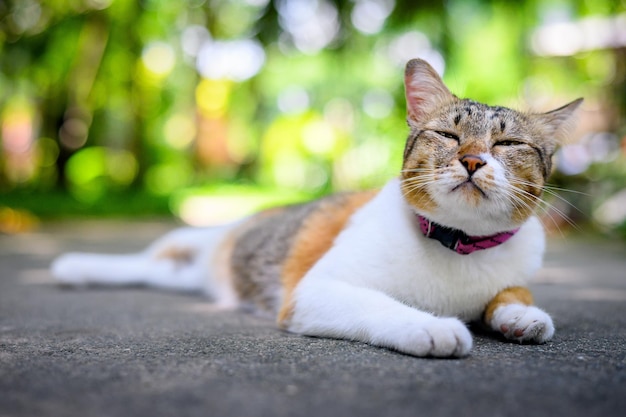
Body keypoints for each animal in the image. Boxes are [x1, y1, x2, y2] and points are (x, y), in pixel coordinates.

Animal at [51, 59, 584, 358]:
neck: (458, 245)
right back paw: (75, 266)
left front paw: (520, 316)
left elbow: (512, 292)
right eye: (449, 135)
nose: (473, 160)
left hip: (189, 275)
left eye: (508, 143)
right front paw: (429, 326)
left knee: (152, 271)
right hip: (195, 237)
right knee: (142, 260)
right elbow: (380, 304)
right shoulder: (314, 290)